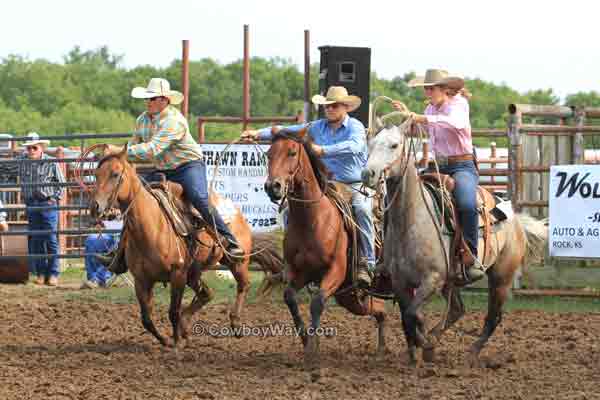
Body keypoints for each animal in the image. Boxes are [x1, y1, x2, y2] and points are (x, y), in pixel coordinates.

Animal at [90, 147, 284, 346]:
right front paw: (166, 340)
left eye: (115, 174)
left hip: (236, 262)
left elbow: (173, 312)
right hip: (194, 272)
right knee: (207, 293)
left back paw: (235, 323)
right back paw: (186, 327)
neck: (152, 225)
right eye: (96, 174)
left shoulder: (178, 274)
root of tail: (236, 212)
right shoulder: (142, 280)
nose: (95, 207)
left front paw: (176, 343)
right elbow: (146, 319)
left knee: (243, 285)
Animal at [264, 129, 386, 376]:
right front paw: (305, 340)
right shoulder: (299, 272)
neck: (312, 219)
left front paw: (312, 350)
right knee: (380, 311)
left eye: (292, 152)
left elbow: (317, 302)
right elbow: (289, 297)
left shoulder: (334, 271)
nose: (273, 186)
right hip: (350, 298)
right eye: (268, 154)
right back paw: (381, 348)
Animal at [360, 120, 548, 368]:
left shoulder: (433, 279)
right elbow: (407, 317)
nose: (367, 174)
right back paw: (434, 342)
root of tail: (515, 220)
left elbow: (412, 314)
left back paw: (471, 352)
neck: (411, 220)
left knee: (493, 317)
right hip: (453, 281)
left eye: (394, 145)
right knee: (457, 310)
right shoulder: (400, 282)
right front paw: (417, 352)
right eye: (370, 143)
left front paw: (424, 343)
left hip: (501, 277)